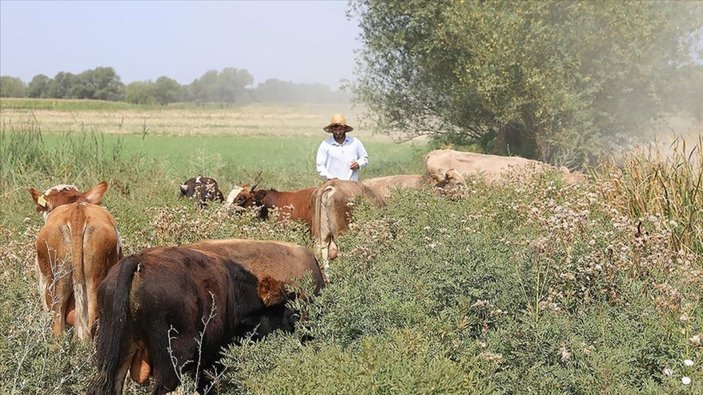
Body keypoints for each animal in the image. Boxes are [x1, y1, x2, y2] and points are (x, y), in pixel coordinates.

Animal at [88, 240, 328, 394]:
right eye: (288, 312)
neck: (235, 292)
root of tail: (137, 263)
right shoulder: (210, 362)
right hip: (171, 363)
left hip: (113, 355)